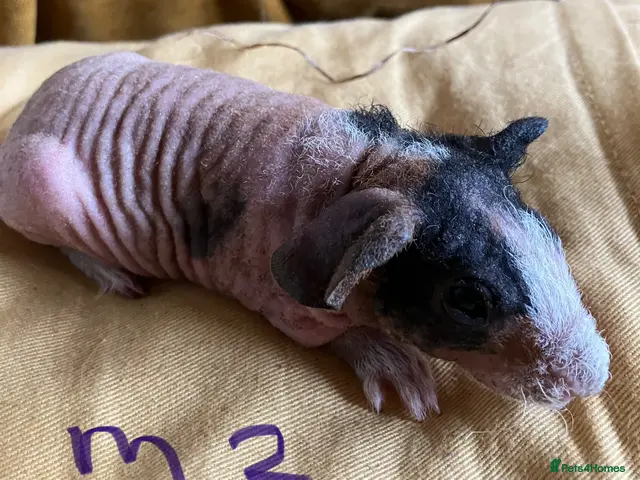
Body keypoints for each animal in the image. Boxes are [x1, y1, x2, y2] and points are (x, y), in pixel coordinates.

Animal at [0, 52, 610, 420]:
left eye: (552, 237)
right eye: (467, 300)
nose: (593, 379)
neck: (367, 171)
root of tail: (28, 114)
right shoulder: (279, 299)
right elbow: (331, 332)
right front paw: (409, 385)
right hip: (41, 180)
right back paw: (121, 280)